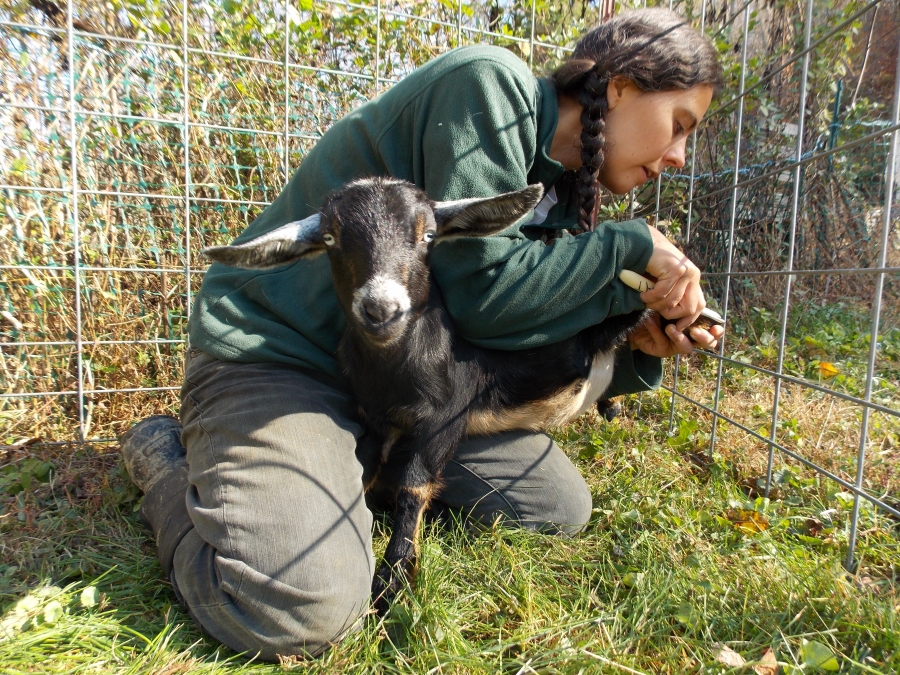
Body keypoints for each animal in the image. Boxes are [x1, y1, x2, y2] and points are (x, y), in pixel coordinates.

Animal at [202, 178, 648, 612]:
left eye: (428, 235)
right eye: (330, 238)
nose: (382, 310)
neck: (395, 372)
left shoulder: (446, 417)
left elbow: (412, 486)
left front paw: (393, 581)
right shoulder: (375, 418)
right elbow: (364, 469)